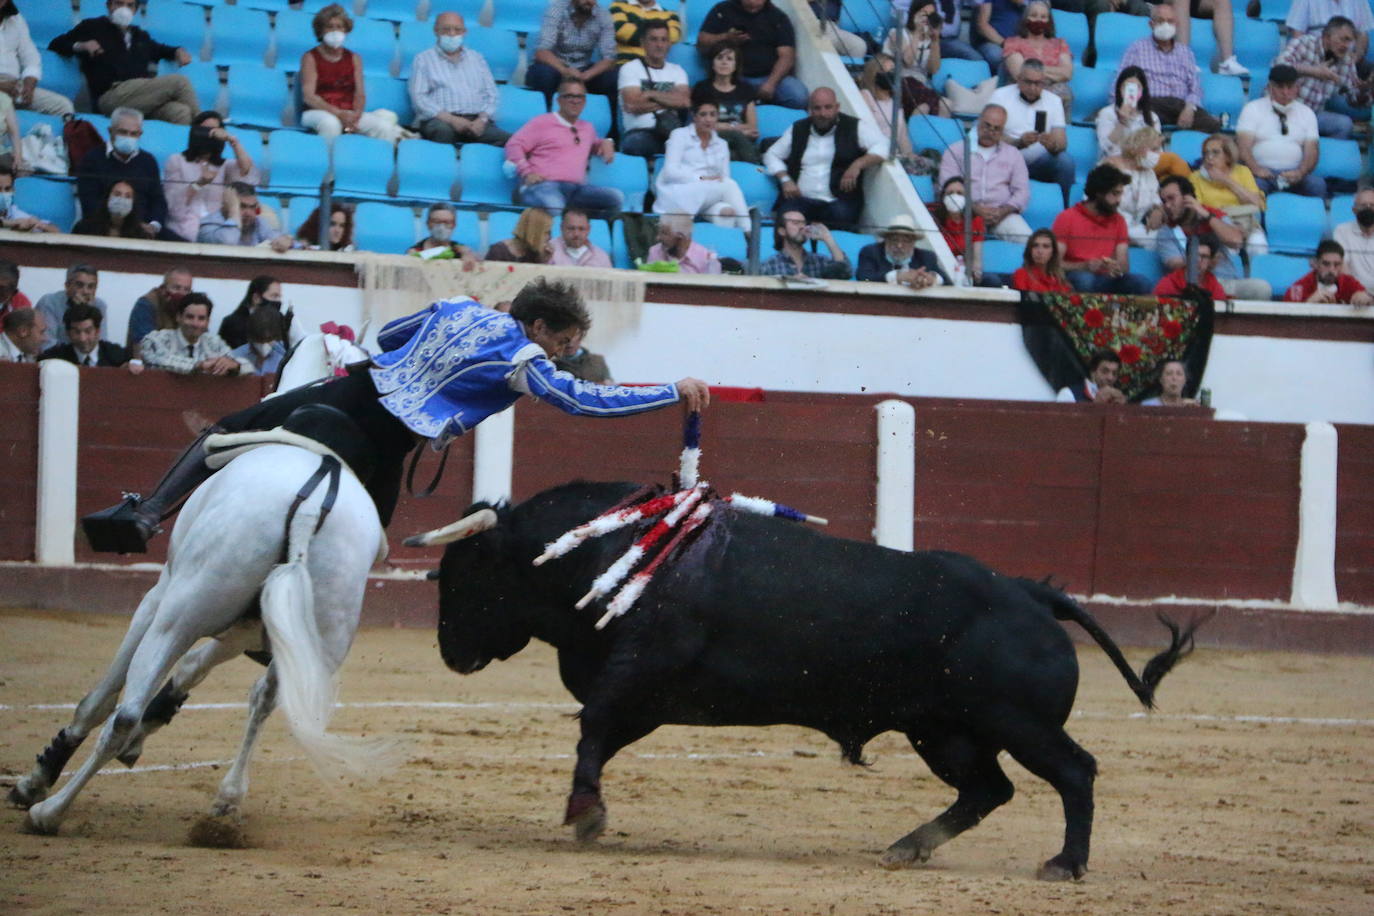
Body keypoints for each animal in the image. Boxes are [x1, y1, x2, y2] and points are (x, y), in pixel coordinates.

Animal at [12, 442, 398, 840]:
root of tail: (310, 508)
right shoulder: (247, 629)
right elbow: (195, 668)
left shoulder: (157, 596)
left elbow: (99, 700)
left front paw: (36, 780)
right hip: (322, 634)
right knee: (264, 699)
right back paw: (226, 804)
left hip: (180, 613)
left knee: (125, 714)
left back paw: (50, 812)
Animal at [431, 483, 1203, 878]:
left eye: (461, 574)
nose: (449, 653)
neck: (611, 550)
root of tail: (1029, 592)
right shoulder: (641, 696)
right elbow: (598, 736)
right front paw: (588, 809)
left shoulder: (635, 677)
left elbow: (591, 728)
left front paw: (587, 815)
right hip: (943, 731)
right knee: (989, 789)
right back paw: (908, 846)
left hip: (1017, 722)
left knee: (1074, 772)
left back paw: (1065, 864)